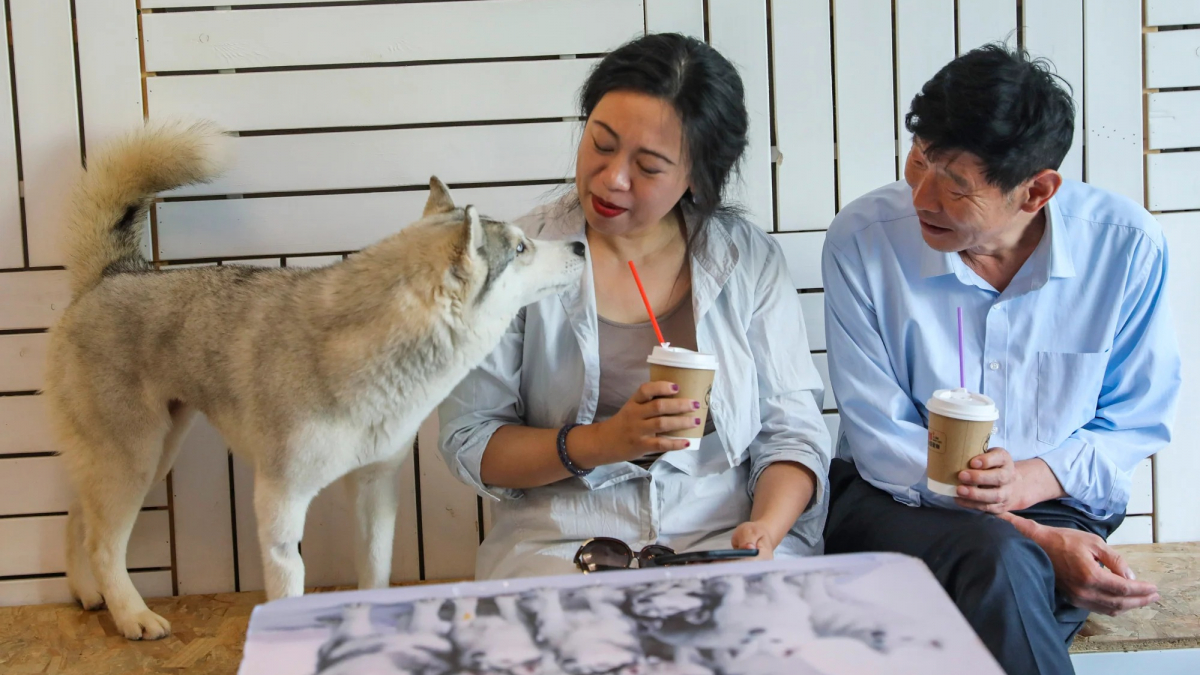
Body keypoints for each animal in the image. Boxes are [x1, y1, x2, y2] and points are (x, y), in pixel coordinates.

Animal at [44, 120, 588, 634]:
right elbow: (290, 587)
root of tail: (114, 274)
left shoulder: (375, 488)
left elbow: (375, 571)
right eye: (521, 248)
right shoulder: (280, 500)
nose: (581, 245)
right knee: (103, 543)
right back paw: (132, 615)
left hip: (149, 458)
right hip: (135, 459)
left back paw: (86, 593)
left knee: (79, 518)